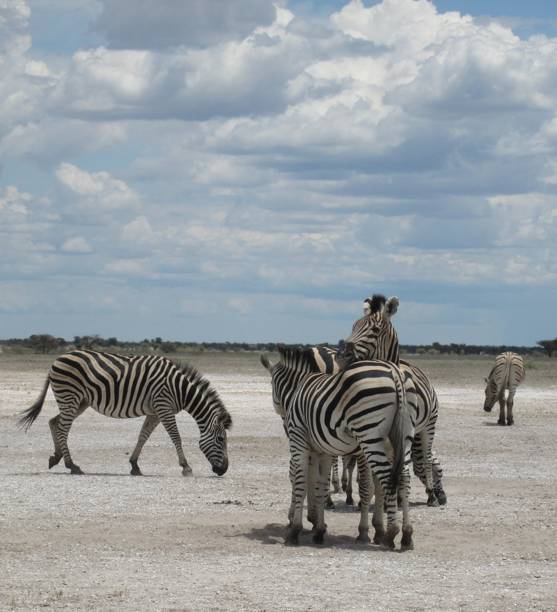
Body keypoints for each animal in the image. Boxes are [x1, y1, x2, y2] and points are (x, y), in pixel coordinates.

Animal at [17, 350, 230, 478]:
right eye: (221, 439)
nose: (224, 470)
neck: (180, 389)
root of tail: (57, 359)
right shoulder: (164, 406)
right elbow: (176, 437)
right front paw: (186, 467)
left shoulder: (155, 412)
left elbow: (143, 436)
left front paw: (134, 465)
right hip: (70, 396)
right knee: (62, 427)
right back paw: (72, 465)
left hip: (80, 401)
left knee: (54, 422)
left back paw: (56, 457)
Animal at [258, 346, 414, 552]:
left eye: (271, 384)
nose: (284, 421)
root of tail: (394, 372)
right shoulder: (322, 450)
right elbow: (321, 485)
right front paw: (318, 529)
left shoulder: (299, 440)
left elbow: (300, 481)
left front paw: (295, 529)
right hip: (401, 438)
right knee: (404, 478)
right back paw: (406, 535)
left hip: (370, 435)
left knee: (387, 478)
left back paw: (390, 534)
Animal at [340, 294, 446, 504]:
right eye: (354, 326)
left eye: (374, 330)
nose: (343, 354)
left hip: (429, 423)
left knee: (426, 455)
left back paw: (430, 495)